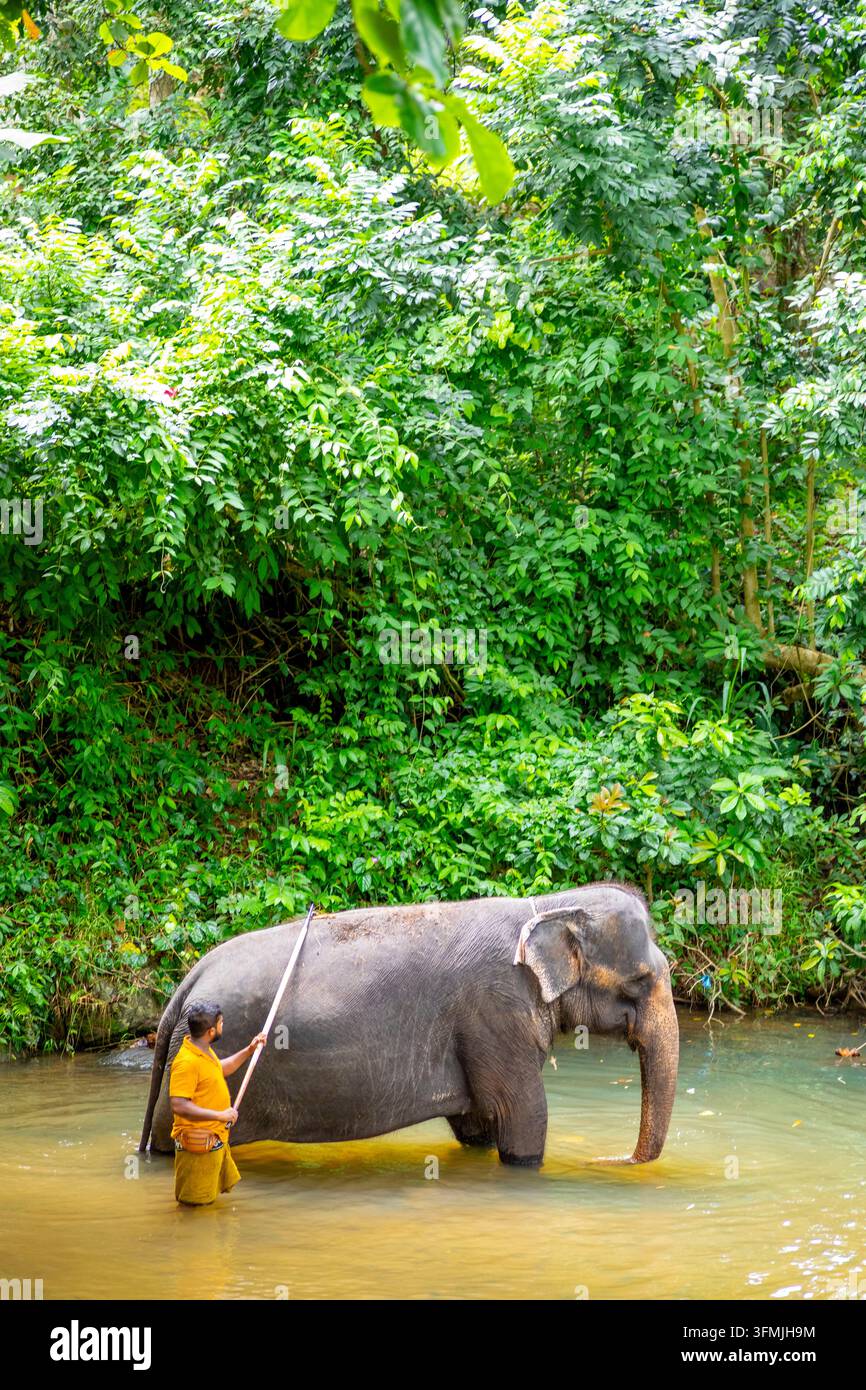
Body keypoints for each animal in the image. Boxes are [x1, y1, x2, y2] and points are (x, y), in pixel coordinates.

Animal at [139, 882, 679, 1168]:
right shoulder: (495, 1011)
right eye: (641, 979)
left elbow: (478, 1122)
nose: (613, 1160)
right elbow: (523, 1114)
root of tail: (185, 985)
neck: (550, 904)